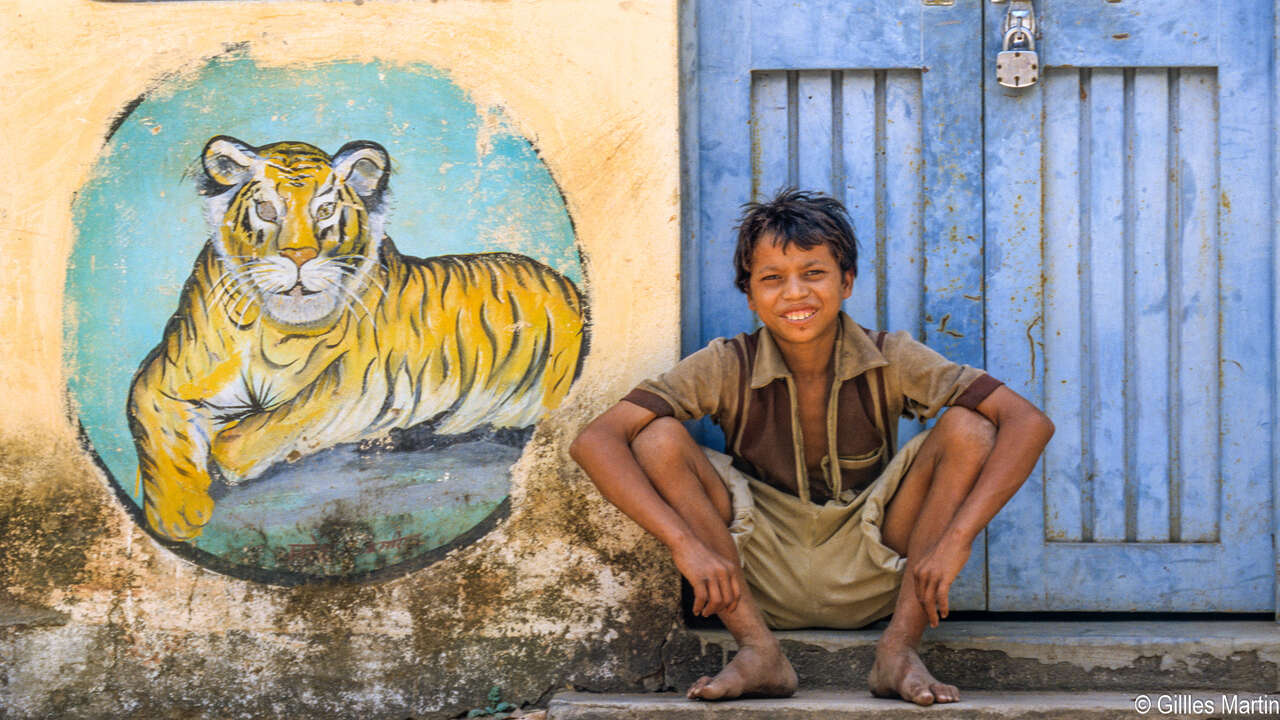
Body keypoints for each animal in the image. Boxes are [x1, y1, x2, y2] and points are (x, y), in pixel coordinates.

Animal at [127, 135, 586, 542]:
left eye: (326, 209)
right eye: (266, 210)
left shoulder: (361, 379)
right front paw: (178, 517)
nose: (299, 257)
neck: (270, 329)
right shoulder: (163, 380)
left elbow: (269, 423)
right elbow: (160, 438)